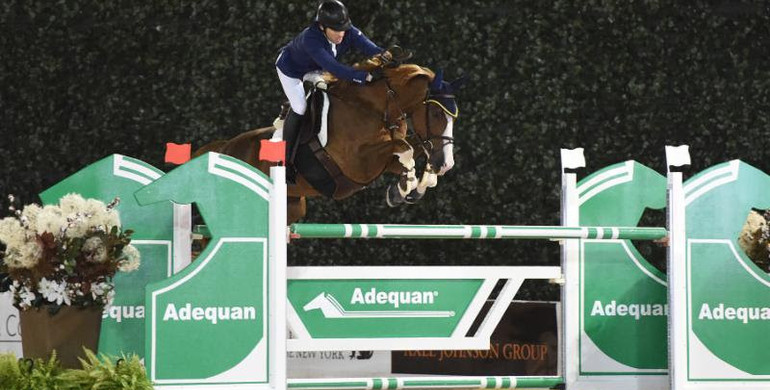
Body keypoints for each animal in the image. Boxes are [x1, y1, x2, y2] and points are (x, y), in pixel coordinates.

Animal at [195, 58, 464, 224]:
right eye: (436, 113)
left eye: (454, 116)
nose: (447, 165)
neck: (373, 109)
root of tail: (225, 147)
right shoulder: (358, 164)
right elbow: (405, 148)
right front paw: (404, 187)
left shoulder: (383, 162)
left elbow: (412, 151)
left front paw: (413, 187)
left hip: (291, 207)